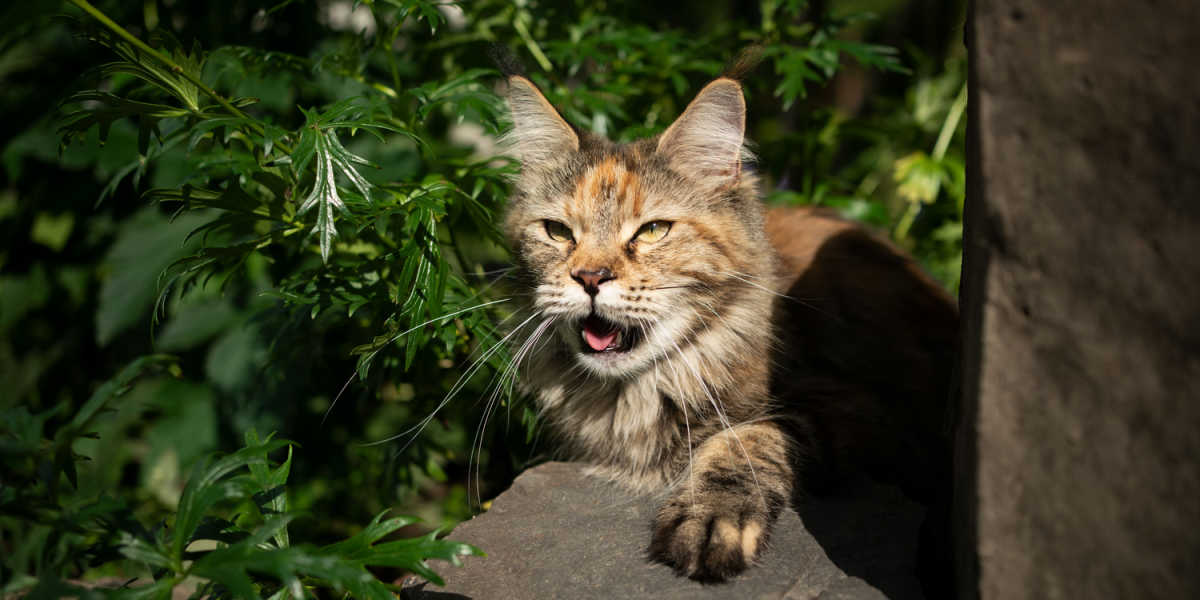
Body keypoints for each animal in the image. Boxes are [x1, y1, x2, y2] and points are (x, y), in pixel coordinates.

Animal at [496, 73, 955, 580]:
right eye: (557, 232)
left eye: (653, 230)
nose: (590, 277)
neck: (637, 393)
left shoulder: (865, 414)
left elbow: (745, 439)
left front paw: (711, 519)